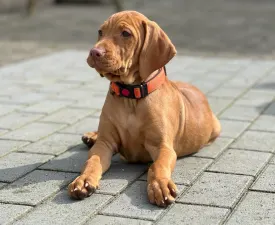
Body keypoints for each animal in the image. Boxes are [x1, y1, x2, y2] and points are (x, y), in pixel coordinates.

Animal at [69, 10, 222, 207]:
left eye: (126, 33)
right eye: (100, 32)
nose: (94, 52)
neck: (131, 97)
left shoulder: (162, 146)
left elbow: (158, 166)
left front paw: (160, 185)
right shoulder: (105, 143)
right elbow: (92, 161)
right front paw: (83, 180)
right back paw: (91, 136)